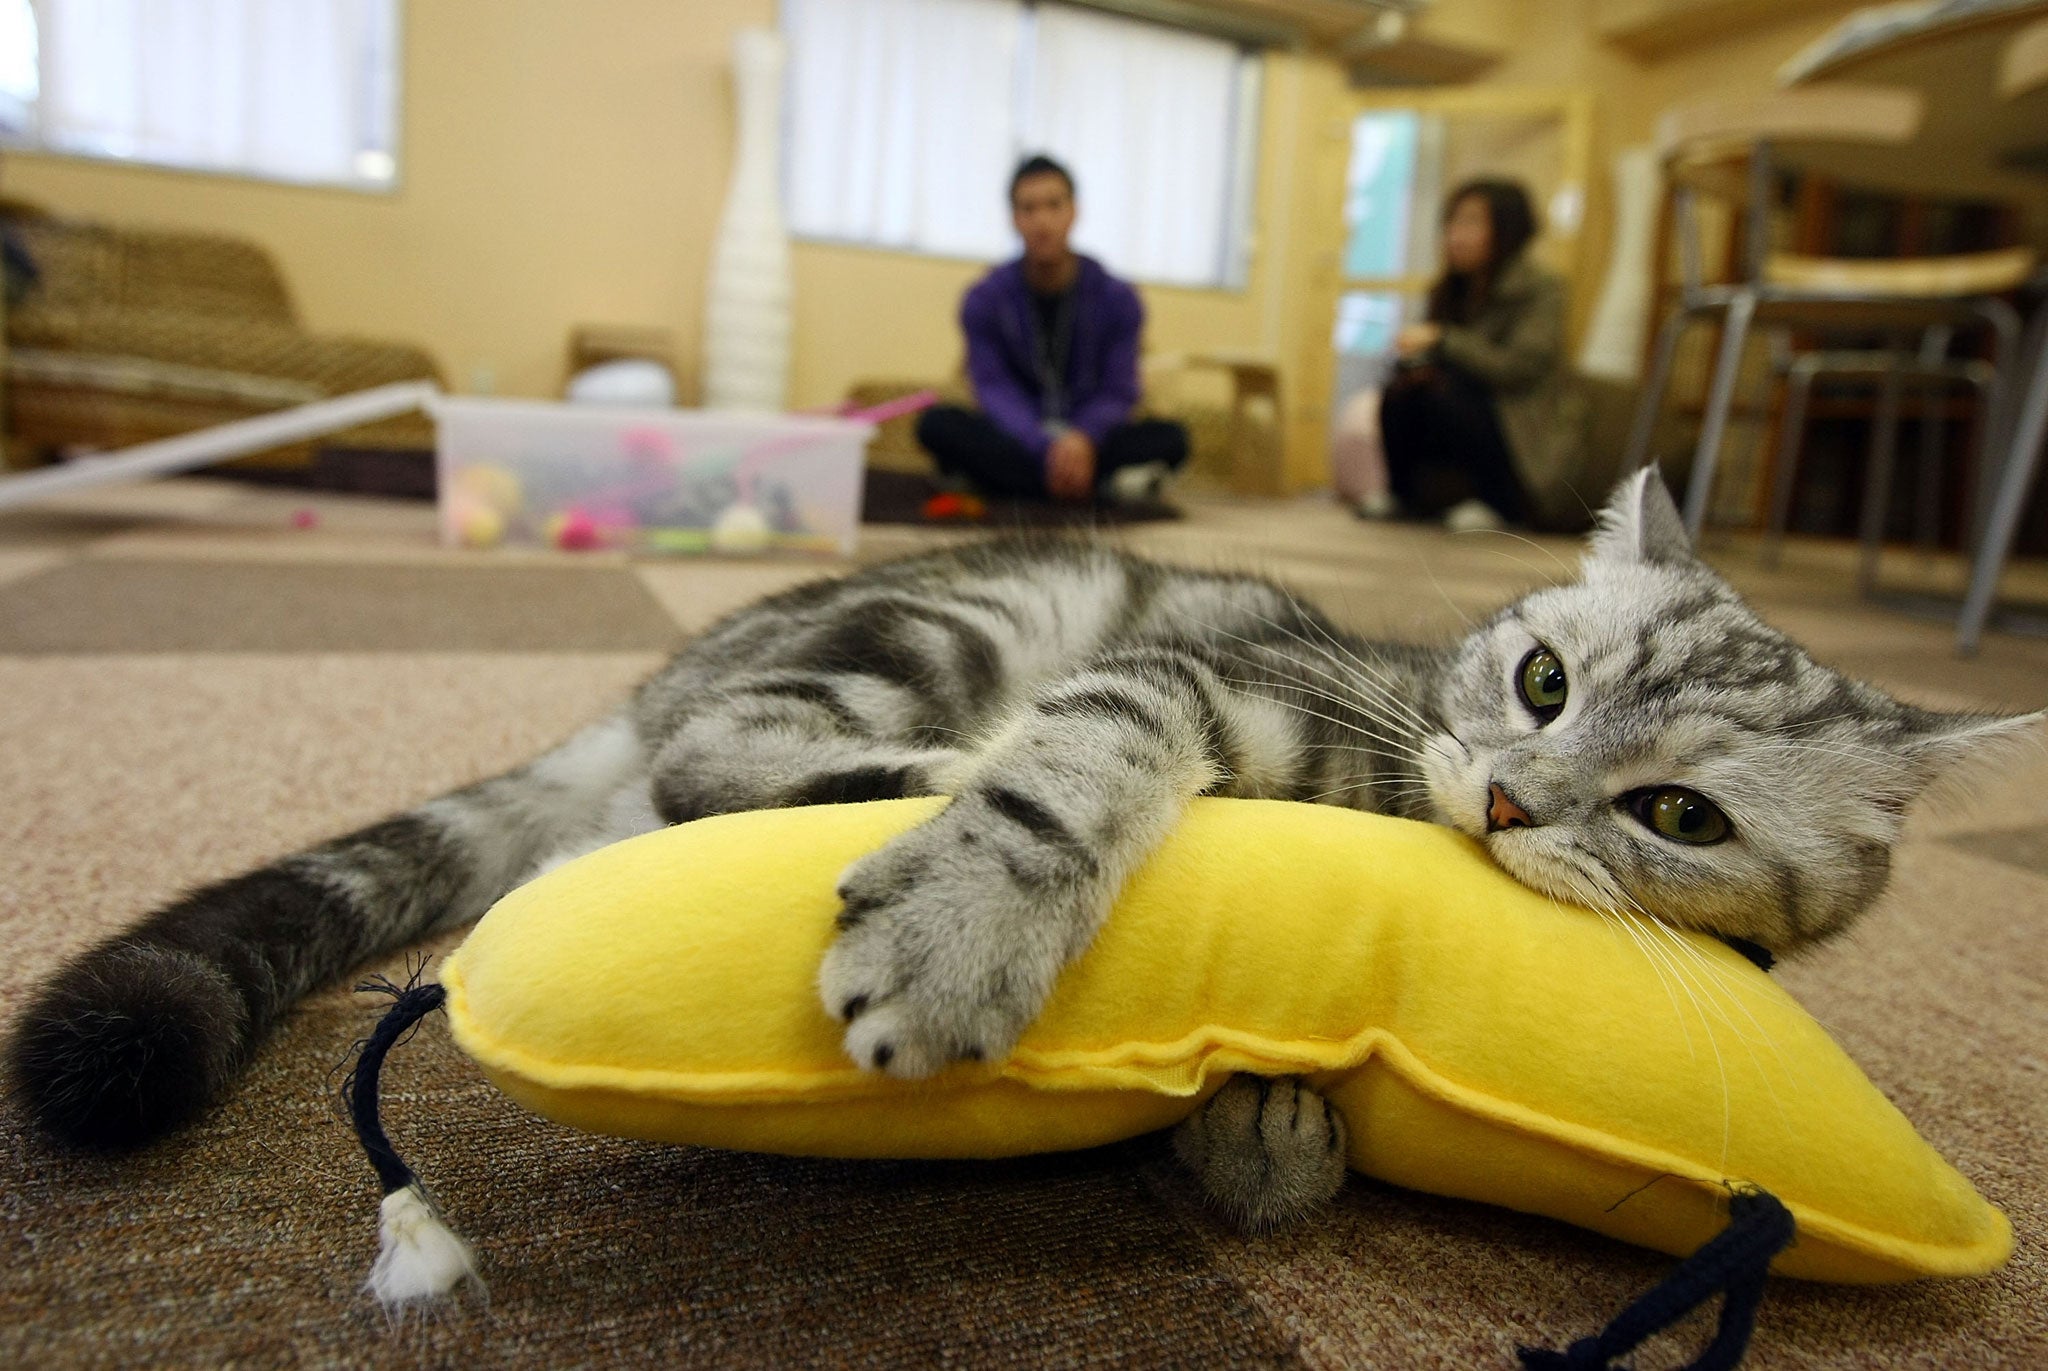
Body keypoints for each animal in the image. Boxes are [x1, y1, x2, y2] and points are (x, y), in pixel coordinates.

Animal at [12, 471, 2031, 1229]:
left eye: (1679, 814)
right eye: (1542, 678)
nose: (1515, 802)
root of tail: (654, 663)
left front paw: (1268, 1128)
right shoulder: (1198, 680)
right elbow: (1083, 772)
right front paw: (966, 923)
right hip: (968, 613)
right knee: (711, 762)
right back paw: (905, 781)